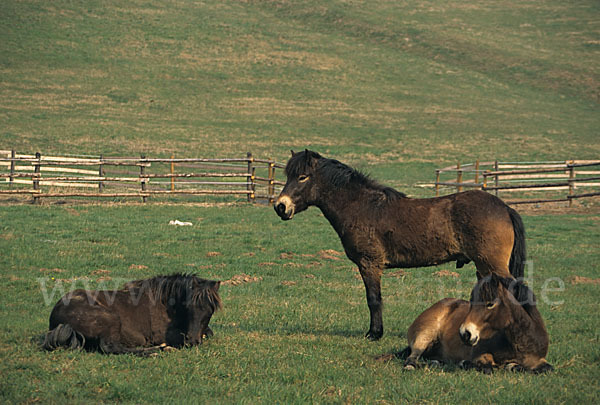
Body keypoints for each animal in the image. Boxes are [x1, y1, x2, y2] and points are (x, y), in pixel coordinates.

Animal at [42, 272, 220, 354]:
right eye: (188, 306)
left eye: (210, 310)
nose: (192, 341)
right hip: (111, 319)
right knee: (111, 348)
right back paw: (156, 350)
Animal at [274, 150, 524, 340]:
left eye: (303, 177)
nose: (280, 206)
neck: (362, 206)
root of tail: (504, 207)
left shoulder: (370, 264)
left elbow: (374, 299)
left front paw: (374, 333)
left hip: (491, 265)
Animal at [398, 274, 552, 374]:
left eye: (490, 304)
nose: (464, 333)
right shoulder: (480, 355)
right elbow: (488, 368)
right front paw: (465, 363)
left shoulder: (539, 360)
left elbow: (547, 369)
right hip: (424, 335)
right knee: (412, 357)